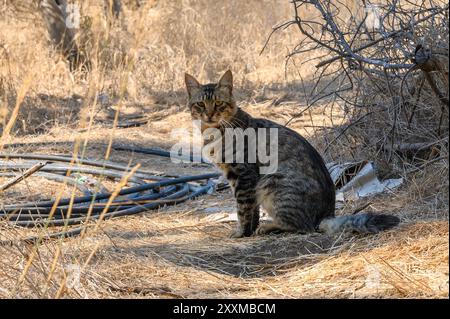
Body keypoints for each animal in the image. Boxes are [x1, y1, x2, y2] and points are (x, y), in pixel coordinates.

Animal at [185, 70, 400, 240]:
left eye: (218, 103)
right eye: (201, 104)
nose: (209, 115)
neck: (213, 132)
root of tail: (326, 215)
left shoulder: (243, 175)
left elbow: (243, 210)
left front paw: (243, 232)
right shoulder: (239, 179)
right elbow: (252, 211)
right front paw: (249, 230)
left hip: (272, 182)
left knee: (301, 226)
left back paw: (269, 227)